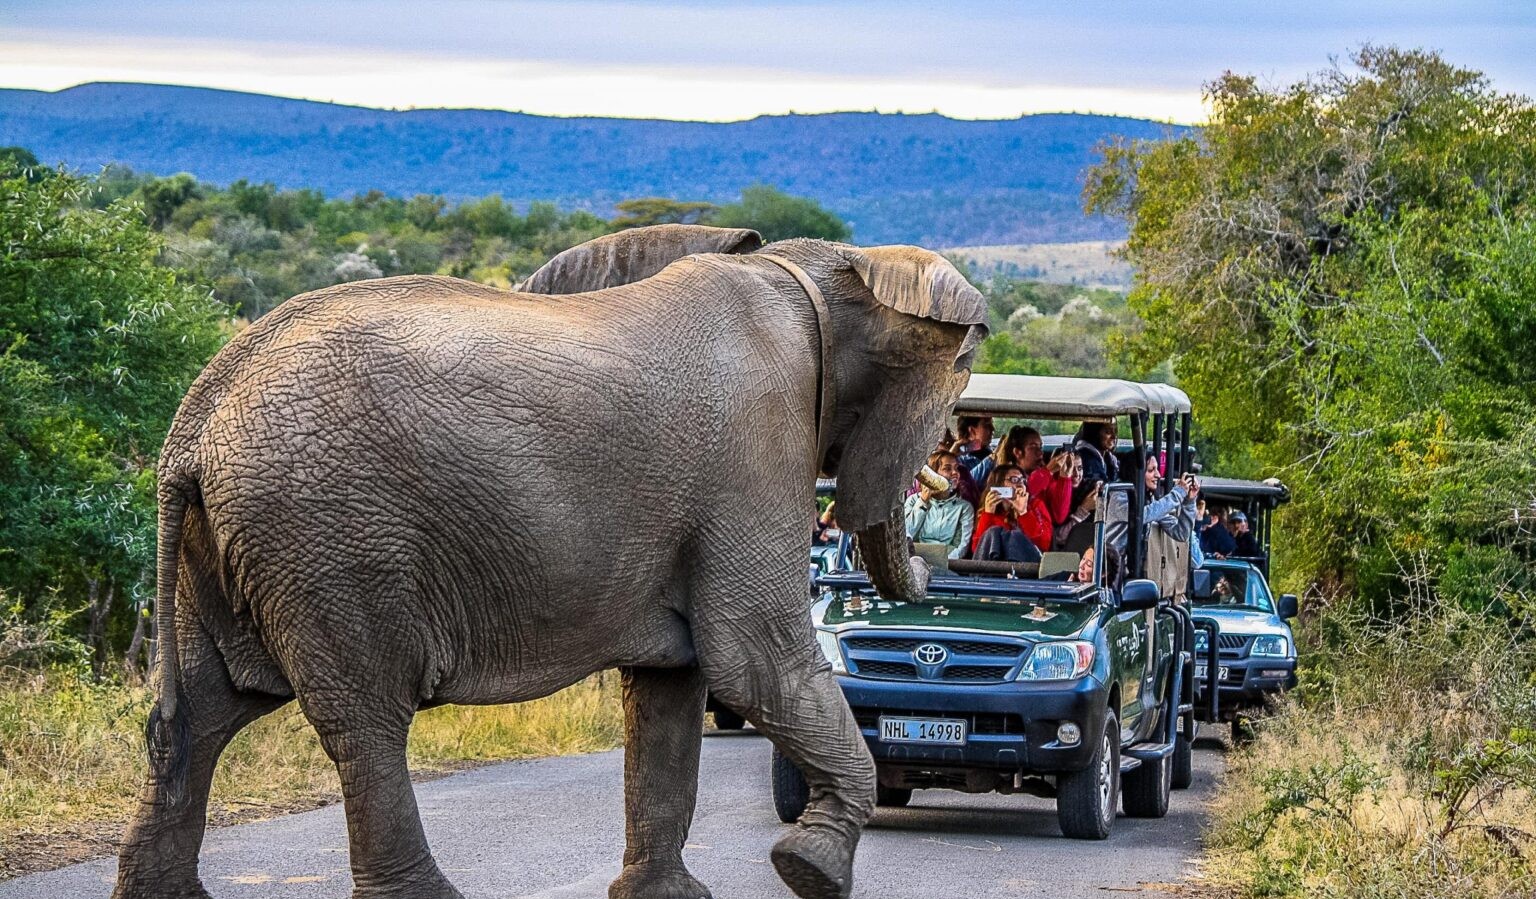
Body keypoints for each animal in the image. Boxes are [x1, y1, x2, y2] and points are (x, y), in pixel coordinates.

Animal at [116, 224, 988, 899]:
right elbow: (756, 660)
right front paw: (808, 869)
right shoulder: (758, 449)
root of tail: (197, 413)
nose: (945, 558)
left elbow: (672, 689)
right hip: (329, 534)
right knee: (364, 721)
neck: (821, 267)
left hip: (232, 544)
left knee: (203, 714)